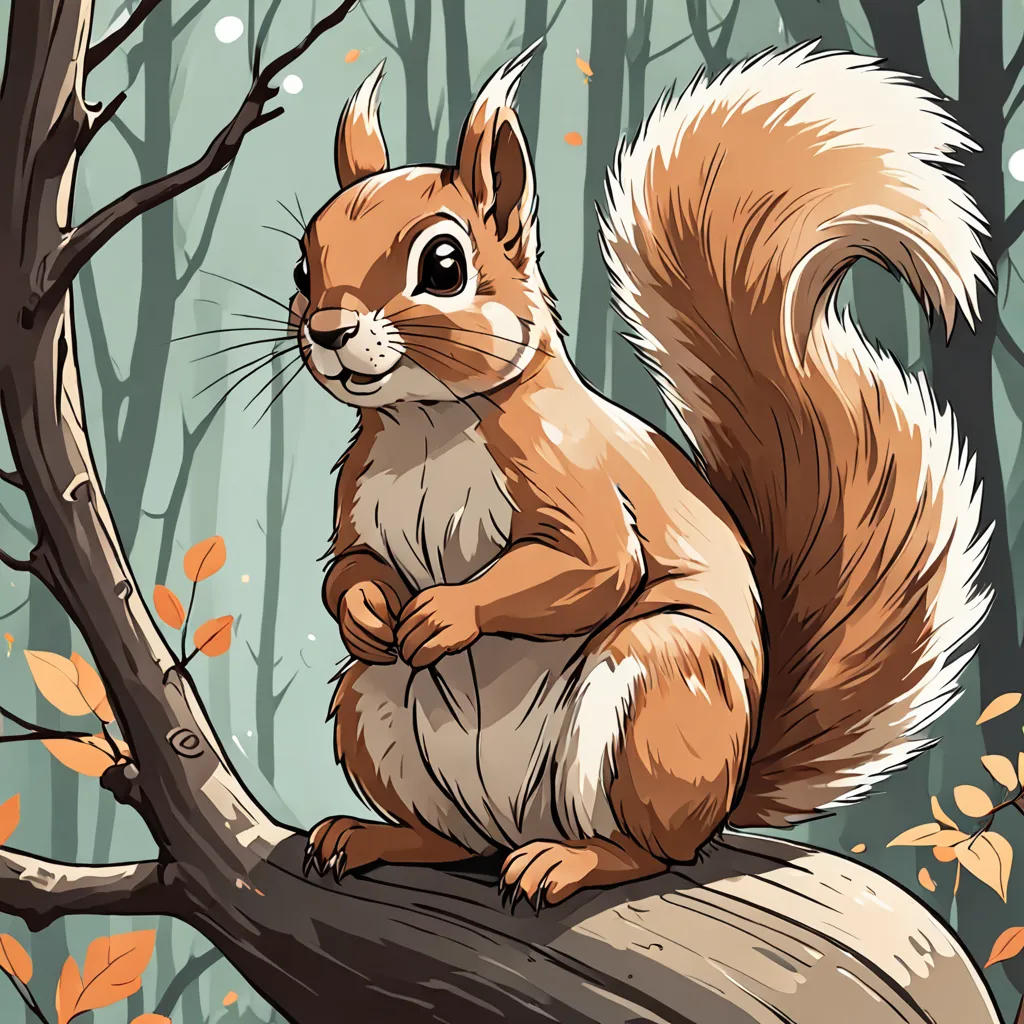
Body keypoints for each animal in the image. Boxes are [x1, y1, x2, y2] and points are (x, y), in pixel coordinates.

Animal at [294, 42, 992, 909]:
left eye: (445, 265)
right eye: (303, 265)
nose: (328, 330)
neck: (427, 428)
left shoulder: (575, 475)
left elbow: (592, 570)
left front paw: (446, 614)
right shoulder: (355, 495)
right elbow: (347, 566)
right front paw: (368, 609)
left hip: (660, 686)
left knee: (652, 851)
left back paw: (569, 863)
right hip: (371, 706)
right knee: (453, 840)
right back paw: (374, 836)